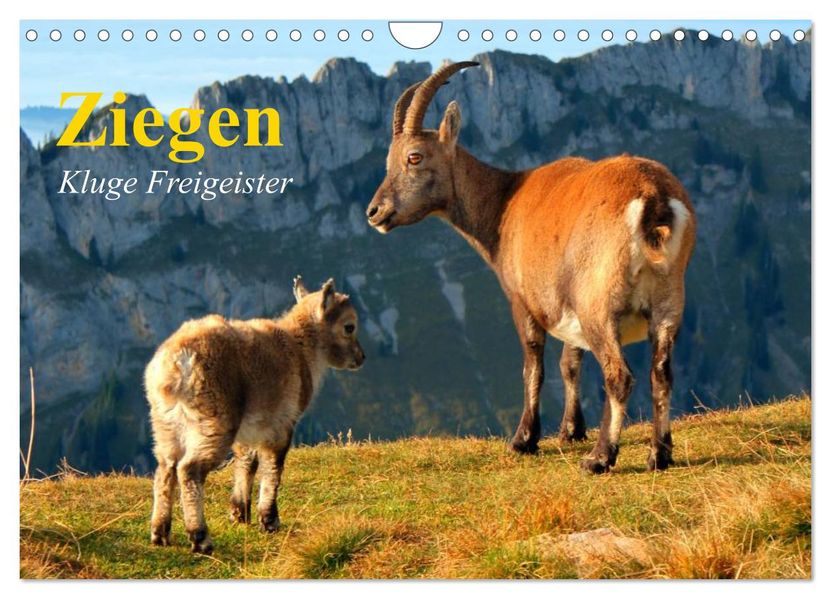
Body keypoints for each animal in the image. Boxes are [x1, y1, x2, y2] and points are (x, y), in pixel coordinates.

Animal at [145, 277, 365, 553]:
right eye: (349, 326)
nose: (361, 358)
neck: (301, 349)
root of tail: (176, 363)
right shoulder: (281, 425)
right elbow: (273, 468)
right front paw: (269, 520)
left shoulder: (250, 429)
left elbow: (247, 463)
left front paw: (240, 514)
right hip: (214, 421)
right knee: (189, 469)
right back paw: (200, 538)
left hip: (165, 423)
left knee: (166, 468)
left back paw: (160, 533)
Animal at [366, 61, 696, 474]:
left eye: (414, 157)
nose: (374, 212)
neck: (504, 204)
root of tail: (654, 201)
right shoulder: (565, 304)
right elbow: (570, 361)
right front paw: (571, 430)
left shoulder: (524, 301)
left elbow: (533, 365)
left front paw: (524, 439)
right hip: (668, 300)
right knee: (661, 373)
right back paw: (659, 454)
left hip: (599, 302)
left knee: (619, 375)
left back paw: (600, 458)